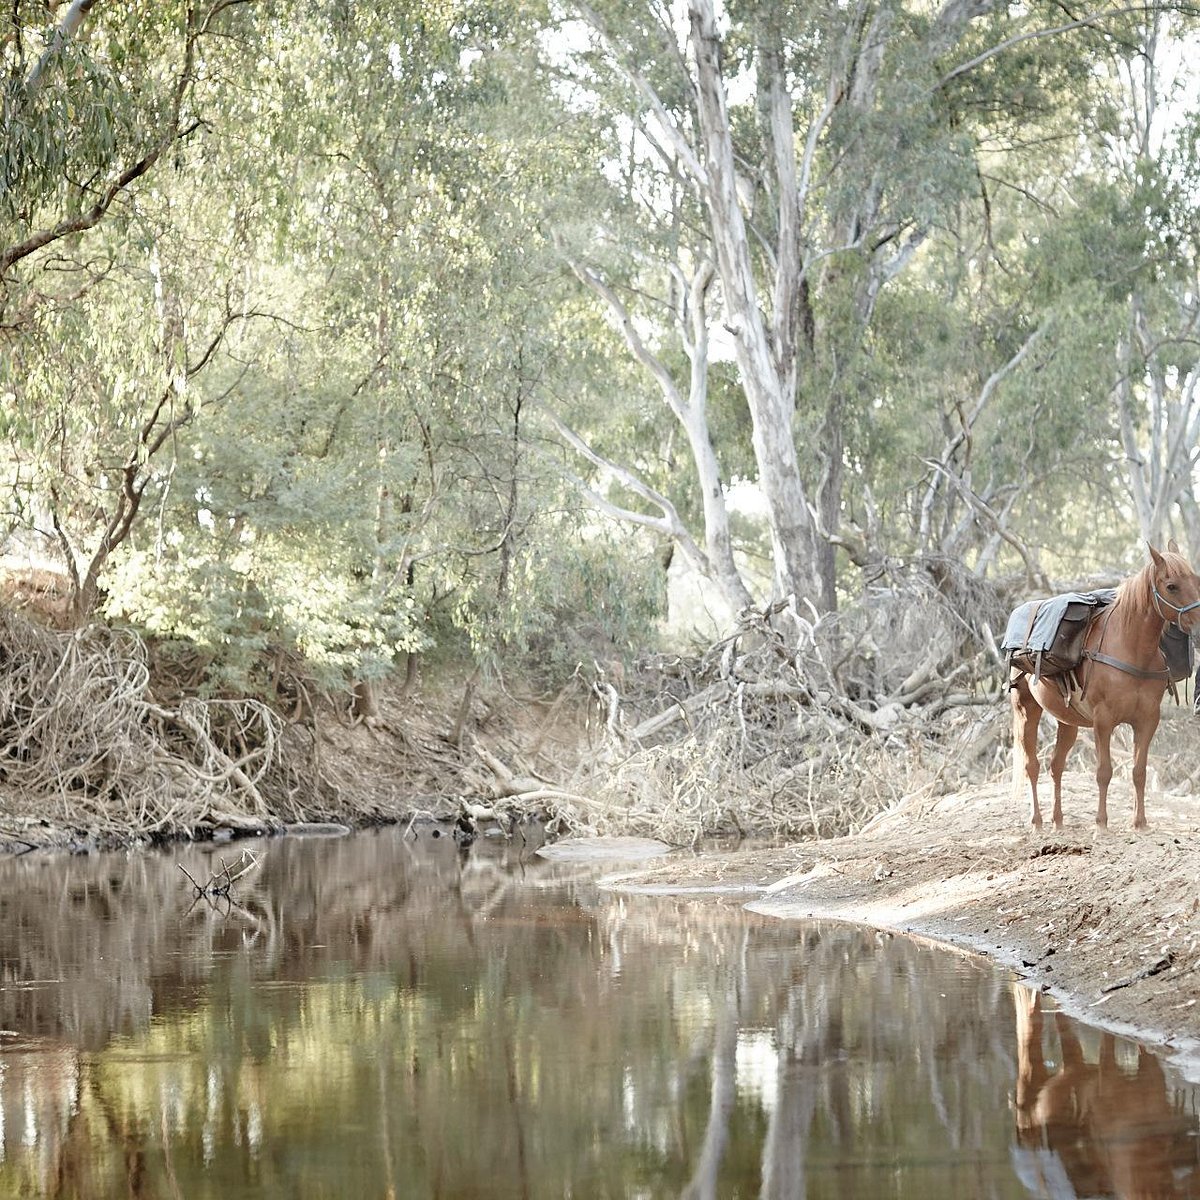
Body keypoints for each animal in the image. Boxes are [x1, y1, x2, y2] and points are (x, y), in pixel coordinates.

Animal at [1012, 542, 1200, 830]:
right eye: (1171, 586)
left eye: (1196, 580)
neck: (1133, 649)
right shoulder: (1104, 720)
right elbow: (1104, 772)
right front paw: (1101, 824)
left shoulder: (1147, 719)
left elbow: (1139, 771)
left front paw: (1140, 822)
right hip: (1026, 711)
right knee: (1031, 765)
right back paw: (1037, 821)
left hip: (1068, 720)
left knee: (1056, 765)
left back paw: (1058, 820)